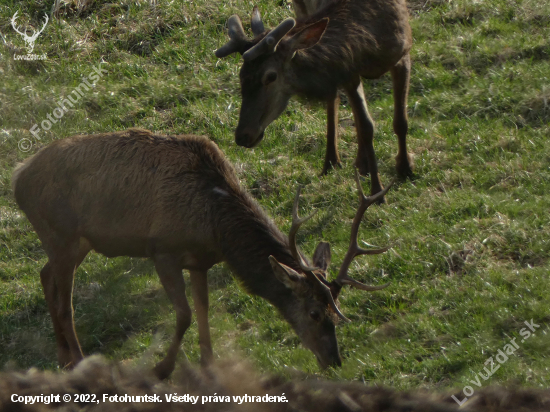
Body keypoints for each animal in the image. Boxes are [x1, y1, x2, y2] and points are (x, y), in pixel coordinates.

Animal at [12, 127, 392, 378]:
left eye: (335, 311)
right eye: (314, 312)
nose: (334, 361)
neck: (216, 227)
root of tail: (17, 177)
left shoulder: (199, 262)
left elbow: (204, 309)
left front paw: (208, 362)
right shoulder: (162, 250)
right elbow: (183, 315)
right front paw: (162, 367)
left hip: (75, 242)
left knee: (45, 275)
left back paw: (63, 356)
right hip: (60, 234)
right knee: (66, 302)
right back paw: (78, 361)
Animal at [216, 0, 414, 202]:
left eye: (270, 76)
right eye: (241, 75)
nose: (243, 135)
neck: (370, 43)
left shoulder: (402, 53)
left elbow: (400, 122)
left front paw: (404, 170)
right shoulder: (349, 71)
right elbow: (366, 126)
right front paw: (377, 191)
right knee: (334, 100)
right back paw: (333, 161)